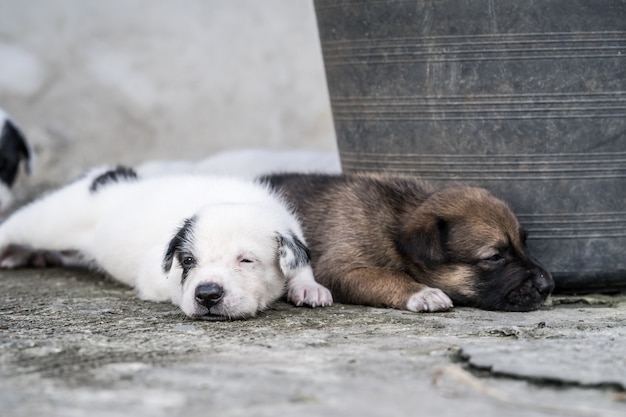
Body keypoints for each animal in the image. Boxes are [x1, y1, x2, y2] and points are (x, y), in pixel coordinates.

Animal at [0, 166, 332, 318]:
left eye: (246, 260)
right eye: (188, 261)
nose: (207, 295)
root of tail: (105, 177)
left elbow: (301, 265)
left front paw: (308, 287)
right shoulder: (154, 273)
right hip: (48, 220)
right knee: (15, 227)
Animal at [260, 172, 552, 312]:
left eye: (524, 243)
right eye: (494, 257)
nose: (549, 286)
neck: (396, 220)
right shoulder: (340, 268)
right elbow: (388, 275)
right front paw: (423, 293)